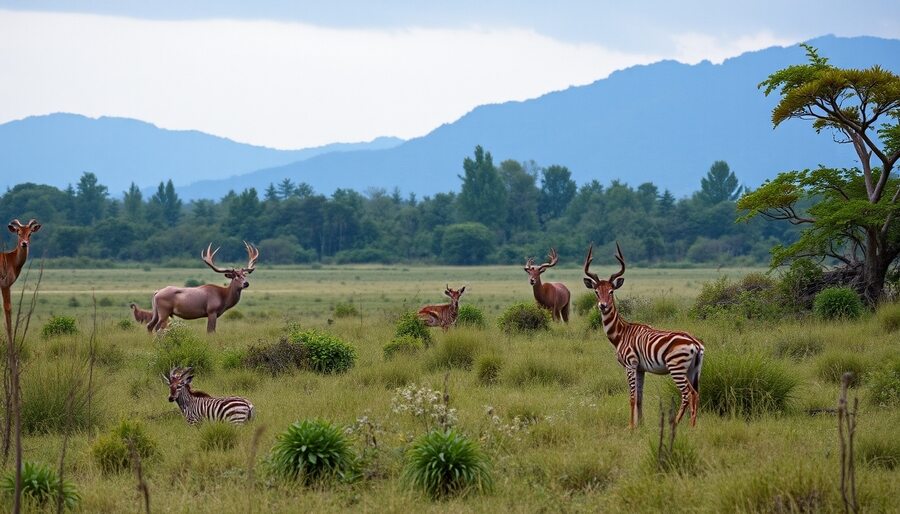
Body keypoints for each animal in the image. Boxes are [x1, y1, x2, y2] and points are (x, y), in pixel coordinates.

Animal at [584, 242, 704, 426]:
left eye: (611, 291)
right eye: (596, 292)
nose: (602, 306)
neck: (621, 333)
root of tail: (695, 343)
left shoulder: (630, 365)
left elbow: (632, 397)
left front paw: (630, 426)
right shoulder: (641, 369)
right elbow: (640, 398)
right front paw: (641, 425)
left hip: (676, 368)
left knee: (687, 394)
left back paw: (676, 423)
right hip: (693, 370)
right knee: (696, 394)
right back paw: (692, 427)